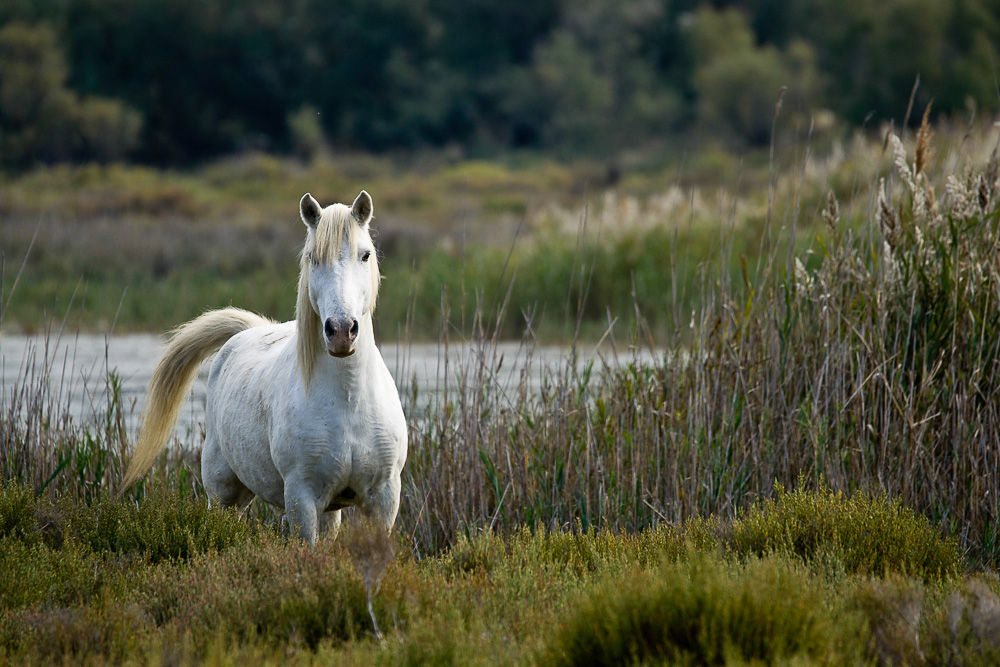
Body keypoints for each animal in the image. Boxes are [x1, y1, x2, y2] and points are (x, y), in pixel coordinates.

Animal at [122, 190, 406, 544]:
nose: (341, 330)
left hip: (326, 510)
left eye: (365, 255)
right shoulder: (301, 498)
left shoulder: (384, 500)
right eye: (313, 257)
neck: (349, 401)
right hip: (224, 492)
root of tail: (246, 332)